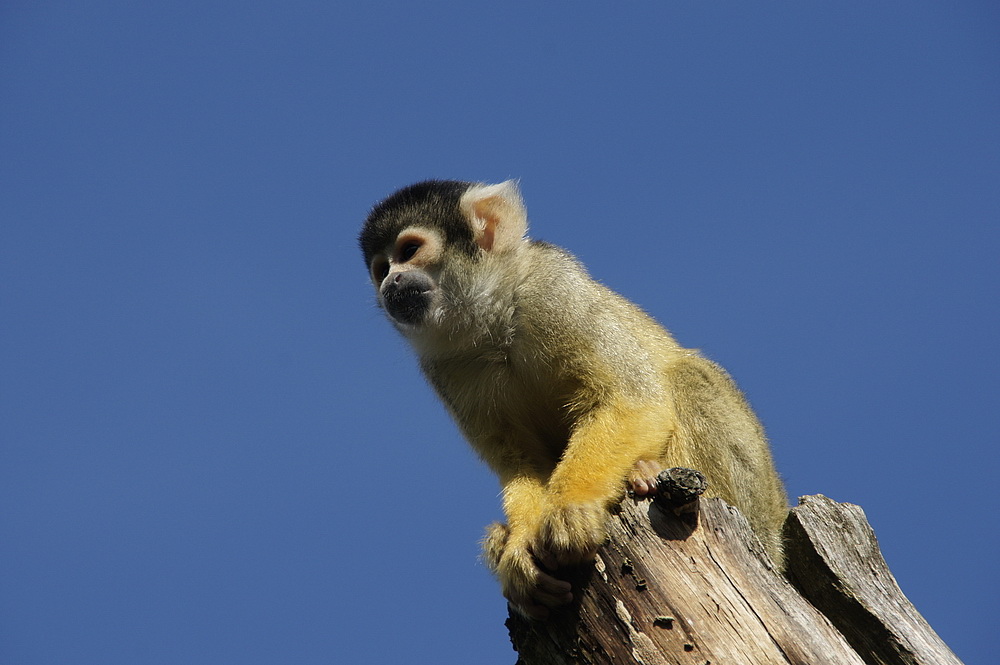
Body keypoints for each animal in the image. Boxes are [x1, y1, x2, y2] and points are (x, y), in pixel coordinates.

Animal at [360, 180, 788, 616]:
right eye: (381, 269)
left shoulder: (552, 287)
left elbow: (632, 398)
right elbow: (521, 461)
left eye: (409, 251)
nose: (390, 284)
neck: (494, 322)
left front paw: (572, 508)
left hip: (756, 500)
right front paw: (520, 546)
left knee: (687, 377)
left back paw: (650, 471)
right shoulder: (442, 366)